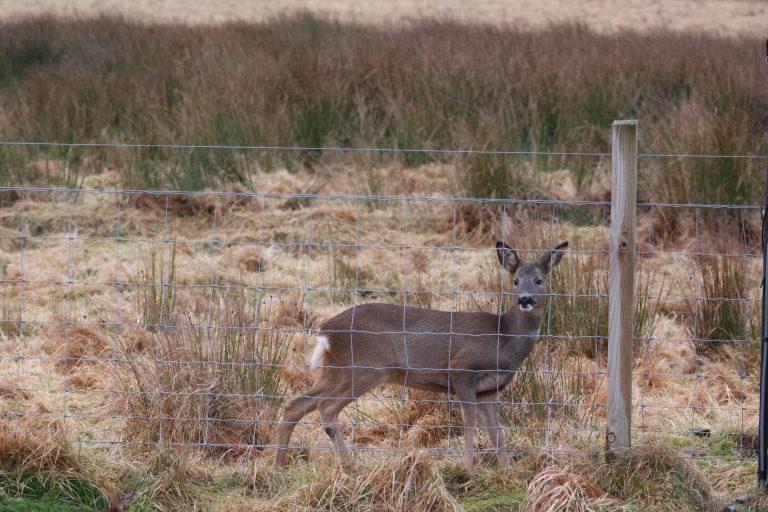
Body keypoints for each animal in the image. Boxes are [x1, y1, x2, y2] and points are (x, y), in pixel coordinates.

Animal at [272, 240, 568, 472]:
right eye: (515, 281)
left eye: (539, 280)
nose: (525, 299)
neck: (503, 338)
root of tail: (325, 332)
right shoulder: (462, 369)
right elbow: (469, 423)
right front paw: (469, 469)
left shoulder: (490, 389)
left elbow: (497, 433)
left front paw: (506, 472)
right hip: (364, 369)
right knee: (327, 409)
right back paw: (347, 464)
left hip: (336, 370)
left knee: (295, 405)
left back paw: (279, 466)